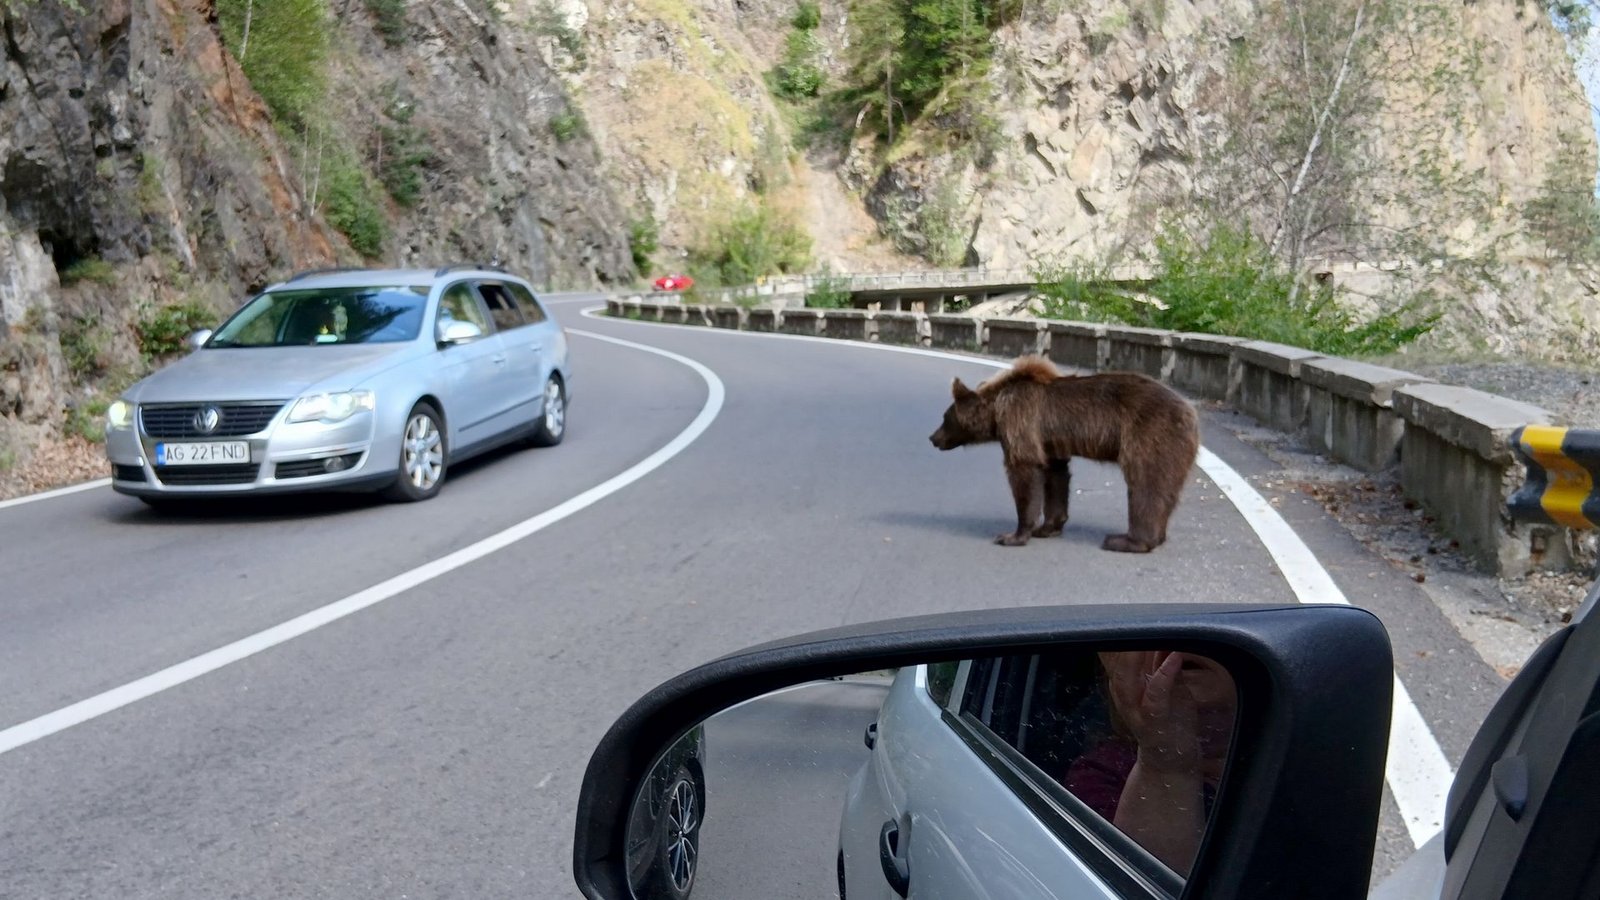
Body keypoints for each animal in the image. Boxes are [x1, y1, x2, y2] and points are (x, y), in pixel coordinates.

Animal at [928, 355, 1200, 552]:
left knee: (1146, 483)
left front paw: (1012, 535)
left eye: (944, 418)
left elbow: (1025, 471)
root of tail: (1190, 412)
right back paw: (1156, 536)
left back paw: (1126, 541)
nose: (932, 438)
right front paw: (1048, 527)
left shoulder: (1020, 421)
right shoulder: (1049, 442)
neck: (996, 410)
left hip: (1149, 434)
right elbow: (1055, 477)